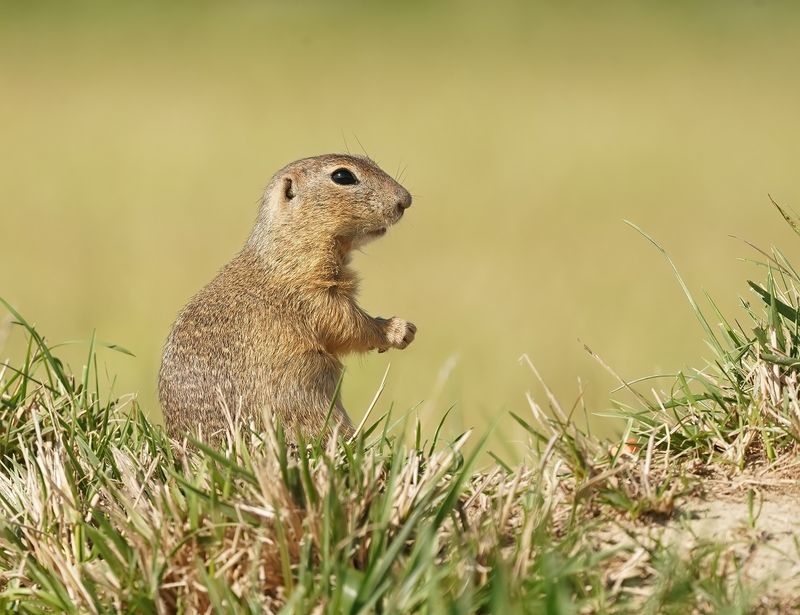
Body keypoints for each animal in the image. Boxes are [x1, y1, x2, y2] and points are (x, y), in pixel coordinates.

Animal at [158, 154, 416, 444]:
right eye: (342, 176)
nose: (405, 199)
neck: (288, 247)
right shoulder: (312, 295)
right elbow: (345, 323)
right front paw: (398, 329)